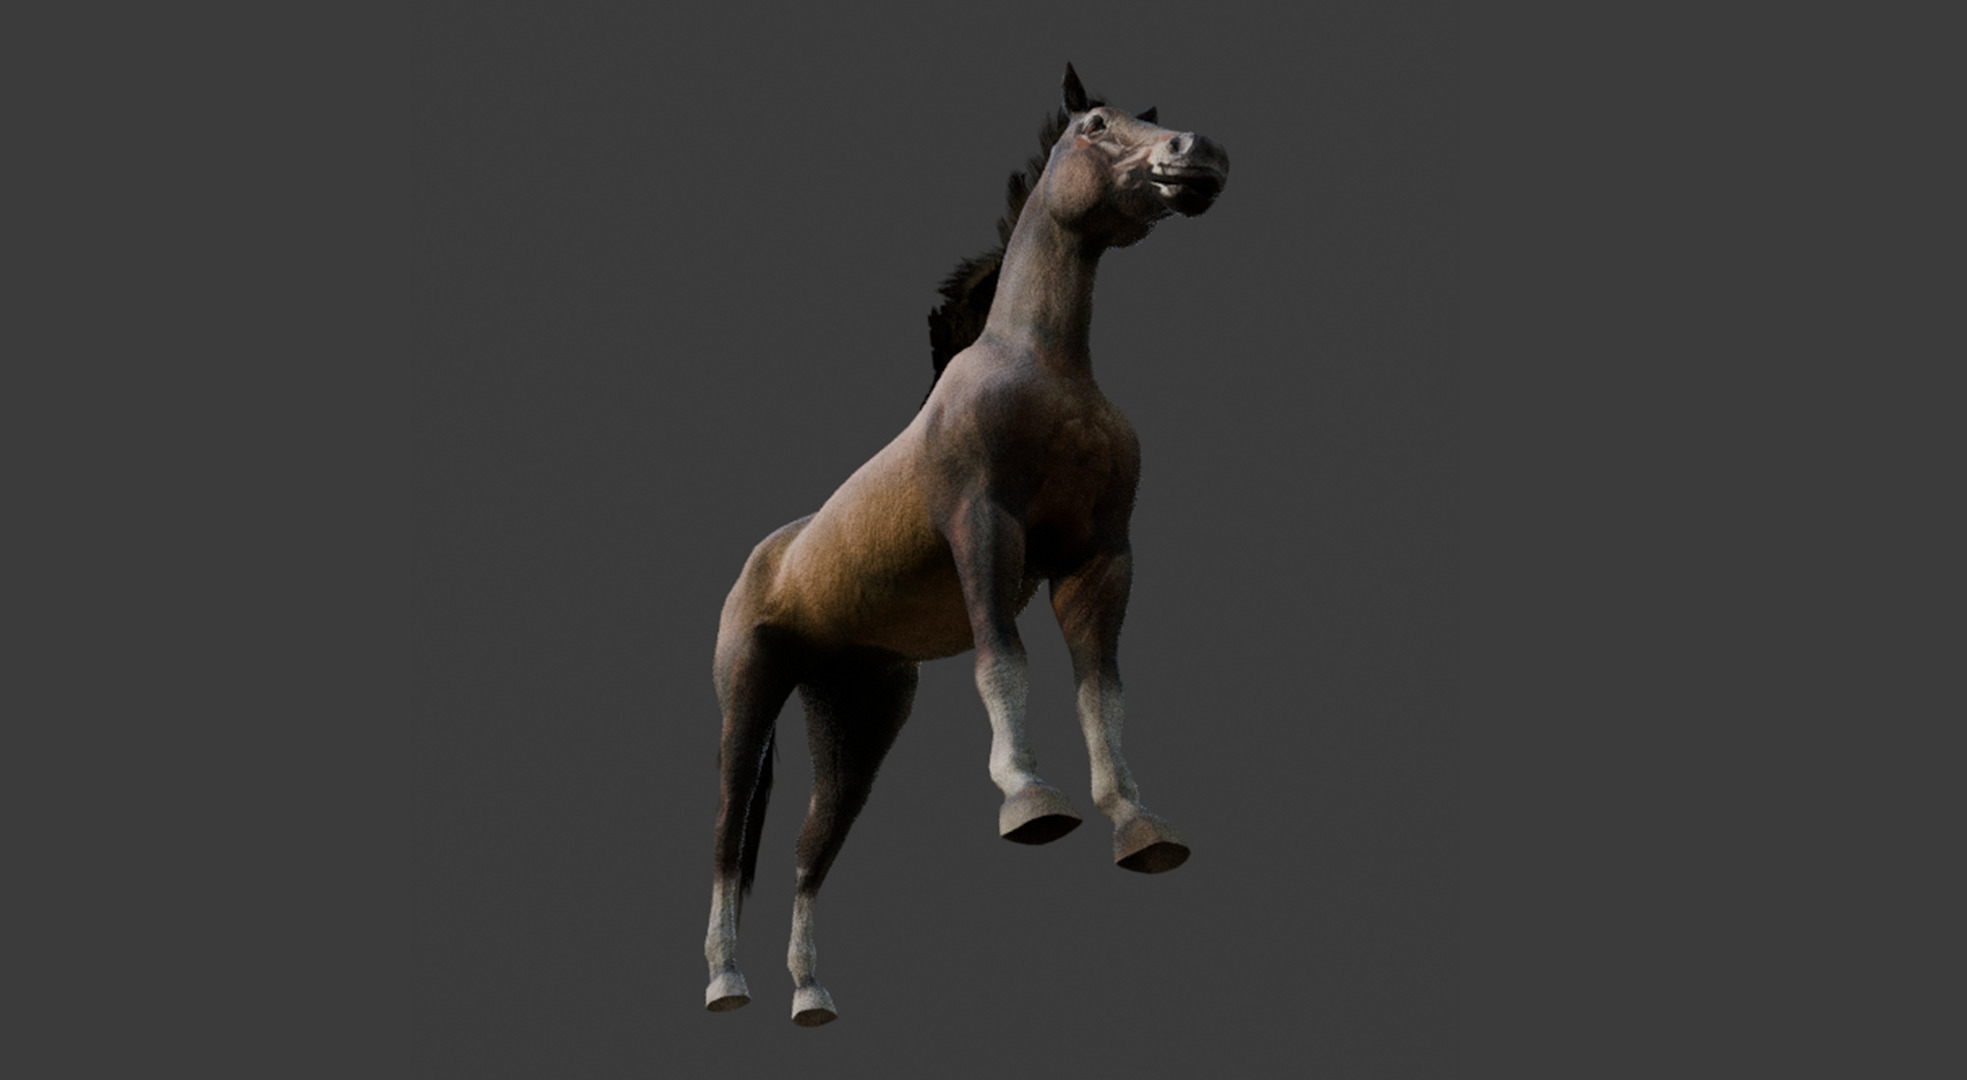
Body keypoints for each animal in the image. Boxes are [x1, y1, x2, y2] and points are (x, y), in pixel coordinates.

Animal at [703, 64, 1229, 1026]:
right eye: (1097, 124)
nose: (1197, 154)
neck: (1043, 368)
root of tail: (766, 557)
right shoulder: (985, 528)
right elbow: (1003, 660)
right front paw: (1030, 801)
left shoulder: (1100, 559)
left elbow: (1102, 692)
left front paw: (1138, 828)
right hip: (749, 695)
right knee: (729, 833)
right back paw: (726, 982)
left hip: (858, 721)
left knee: (808, 850)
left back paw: (809, 995)